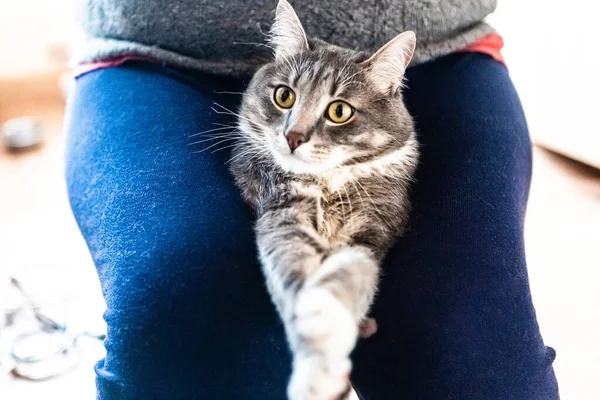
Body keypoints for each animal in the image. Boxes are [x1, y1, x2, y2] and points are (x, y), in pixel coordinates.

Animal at [230, 1, 418, 398]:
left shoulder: (376, 224)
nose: (293, 137)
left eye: (339, 111)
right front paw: (317, 368)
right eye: (284, 96)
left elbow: (350, 273)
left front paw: (327, 333)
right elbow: (291, 266)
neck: (327, 183)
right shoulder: (280, 210)